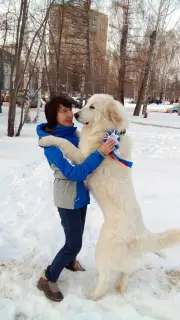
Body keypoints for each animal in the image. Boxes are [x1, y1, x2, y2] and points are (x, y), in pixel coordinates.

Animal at [39, 94, 180, 300]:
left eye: (92, 107)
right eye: (86, 104)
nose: (75, 114)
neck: (105, 130)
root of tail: (140, 233)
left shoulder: (82, 157)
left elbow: (66, 144)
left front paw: (47, 139)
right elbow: (76, 138)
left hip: (102, 250)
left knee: (105, 277)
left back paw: (93, 295)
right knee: (125, 273)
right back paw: (120, 288)